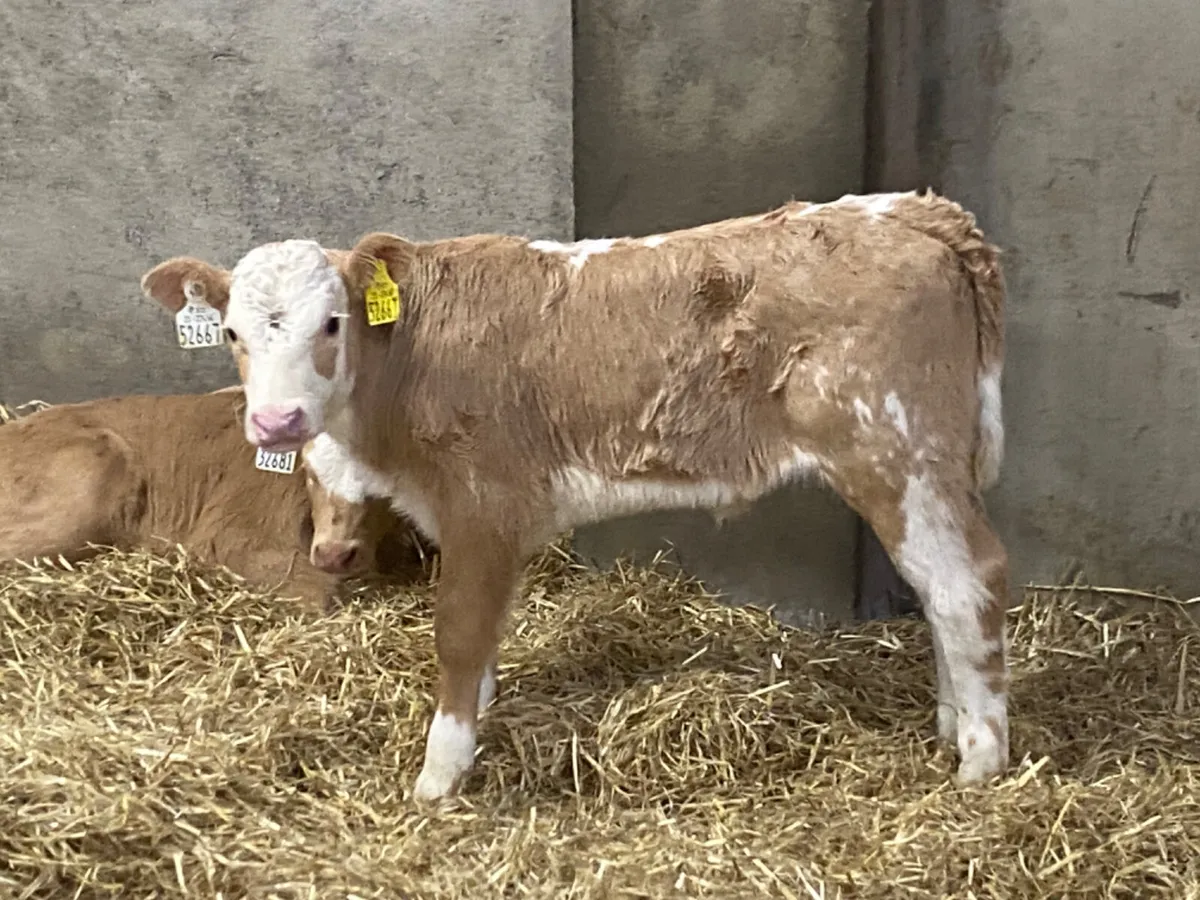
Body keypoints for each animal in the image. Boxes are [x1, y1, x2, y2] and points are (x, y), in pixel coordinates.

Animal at [141, 189, 1009, 802]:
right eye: (231, 334)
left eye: (331, 324)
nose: (278, 420)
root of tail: (914, 211)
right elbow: (486, 635)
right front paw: (479, 720)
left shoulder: (485, 502)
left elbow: (460, 631)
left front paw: (440, 773)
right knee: (938, 589)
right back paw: (950, 726)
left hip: (896, 448)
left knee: (967, 583)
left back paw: (982, 760)